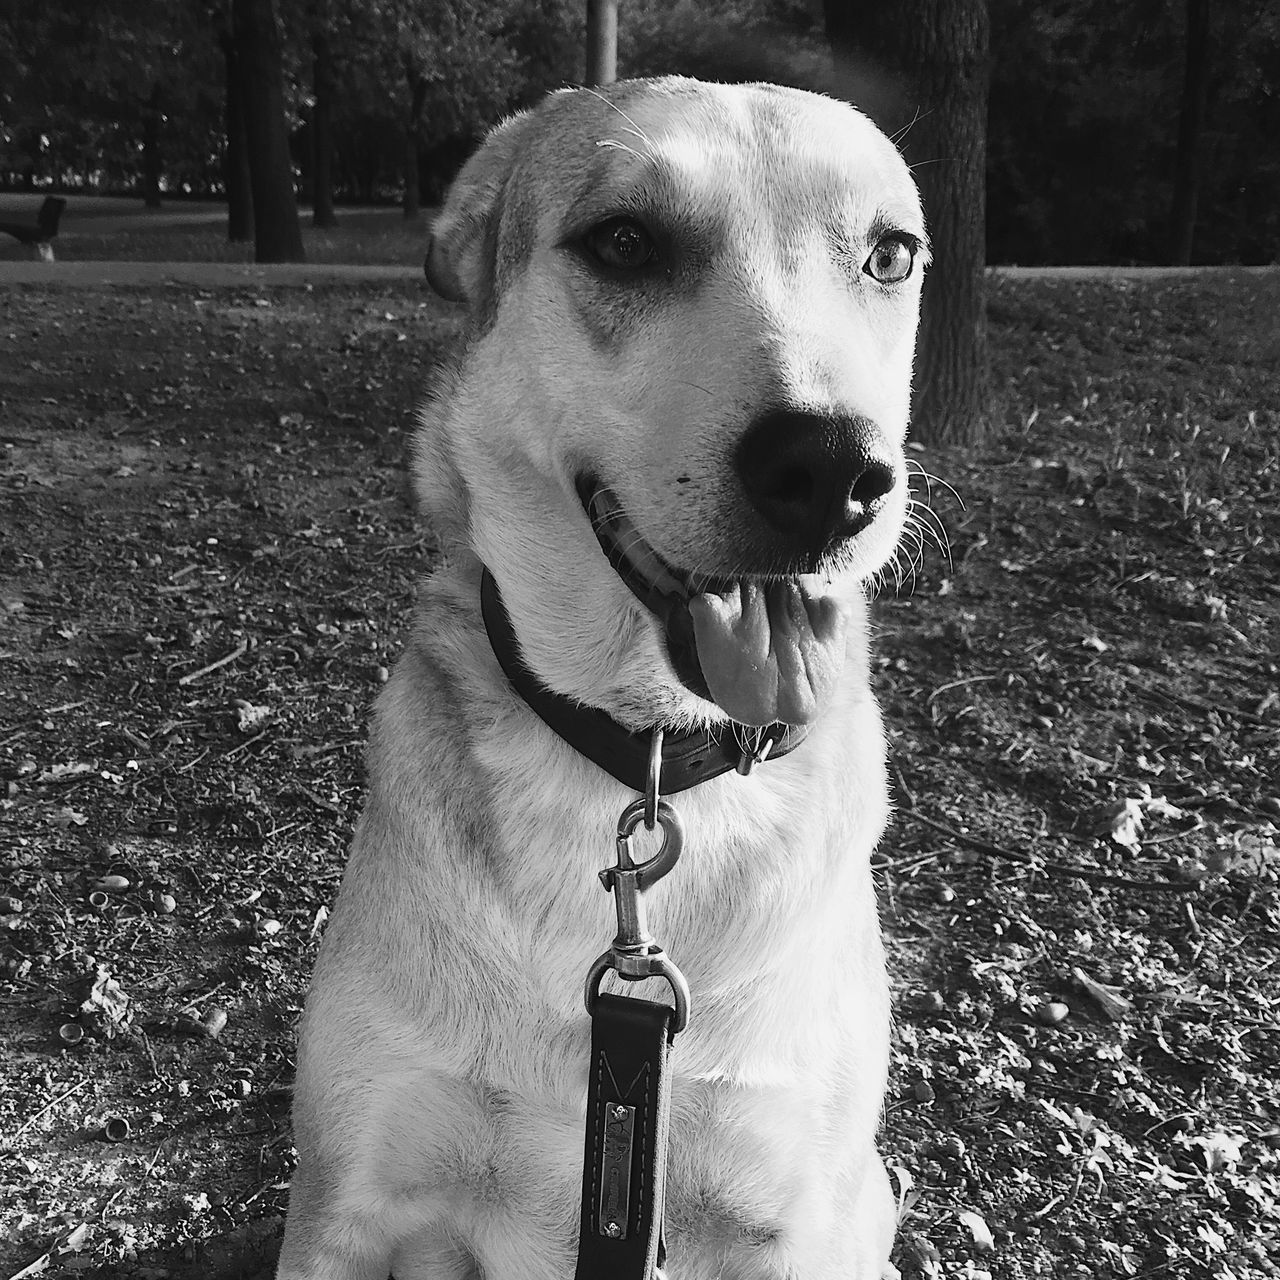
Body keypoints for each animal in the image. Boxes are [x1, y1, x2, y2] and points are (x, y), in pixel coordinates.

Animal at [275, 77, 926, 1280]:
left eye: (889, 255)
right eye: (624, 242)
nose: (831, 471)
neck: (649, 754)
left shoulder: (787, 1213)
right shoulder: (345, 1205)